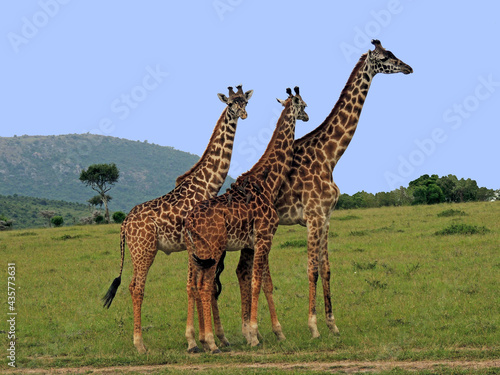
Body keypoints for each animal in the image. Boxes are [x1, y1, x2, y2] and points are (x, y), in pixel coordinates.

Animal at [103, 84, 256, 352]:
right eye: (230, 104)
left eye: (245, 102)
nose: (243, 115)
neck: (207, 186)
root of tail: (124, 224)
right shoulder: (192, 246)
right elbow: (192, 287)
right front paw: (195, 341)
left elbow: (199, 286)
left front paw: (210, 339)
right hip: (144, 250)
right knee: (136, 287)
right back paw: (140, 345)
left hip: (137, 251)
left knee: (133, 285)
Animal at [184, 86, 308, 354]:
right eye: (303, 104)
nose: (307, 116)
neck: (268, 183)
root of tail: (188, 223)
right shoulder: (264, 237)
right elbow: (255, 283)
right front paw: (253, 335)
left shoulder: (256, 241)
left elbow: (264, 283)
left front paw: (274, 333)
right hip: (212, 249)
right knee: (205, 287)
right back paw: (211, 342)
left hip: (196, 252)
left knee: (194, 286)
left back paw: (199, 341)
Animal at [232, 39, 412, 340]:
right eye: (386, 56)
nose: (409, 67)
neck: (330, 156)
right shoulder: (314, 216)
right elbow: (311, 270)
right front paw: (313, 326)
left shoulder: (327, 217)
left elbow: (326, 269)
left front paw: (332, 324)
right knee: (245, 272)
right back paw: (252, 331)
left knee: (243, 272)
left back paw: (252, 331)